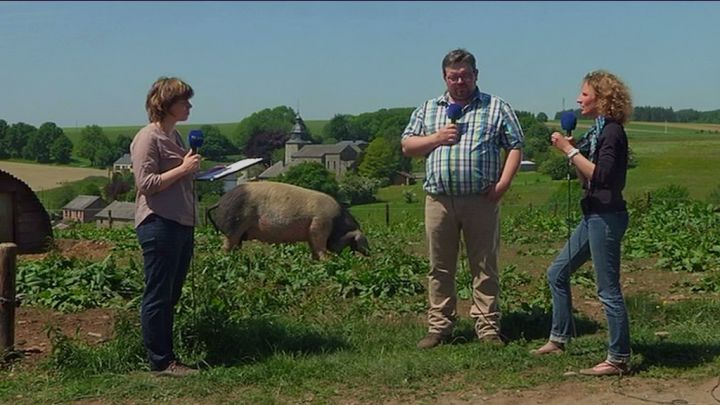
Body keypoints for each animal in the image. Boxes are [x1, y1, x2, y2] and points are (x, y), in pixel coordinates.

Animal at [205, 182, 368, 258]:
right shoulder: (320, 226)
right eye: (359, 242)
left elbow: (314, 250)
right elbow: (321, 249)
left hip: (237, 234)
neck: (337, 223)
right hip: (232, 228)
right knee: (225, 248)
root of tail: (220, 202)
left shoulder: (311, 234)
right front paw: (327, 261)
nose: (369, 254)